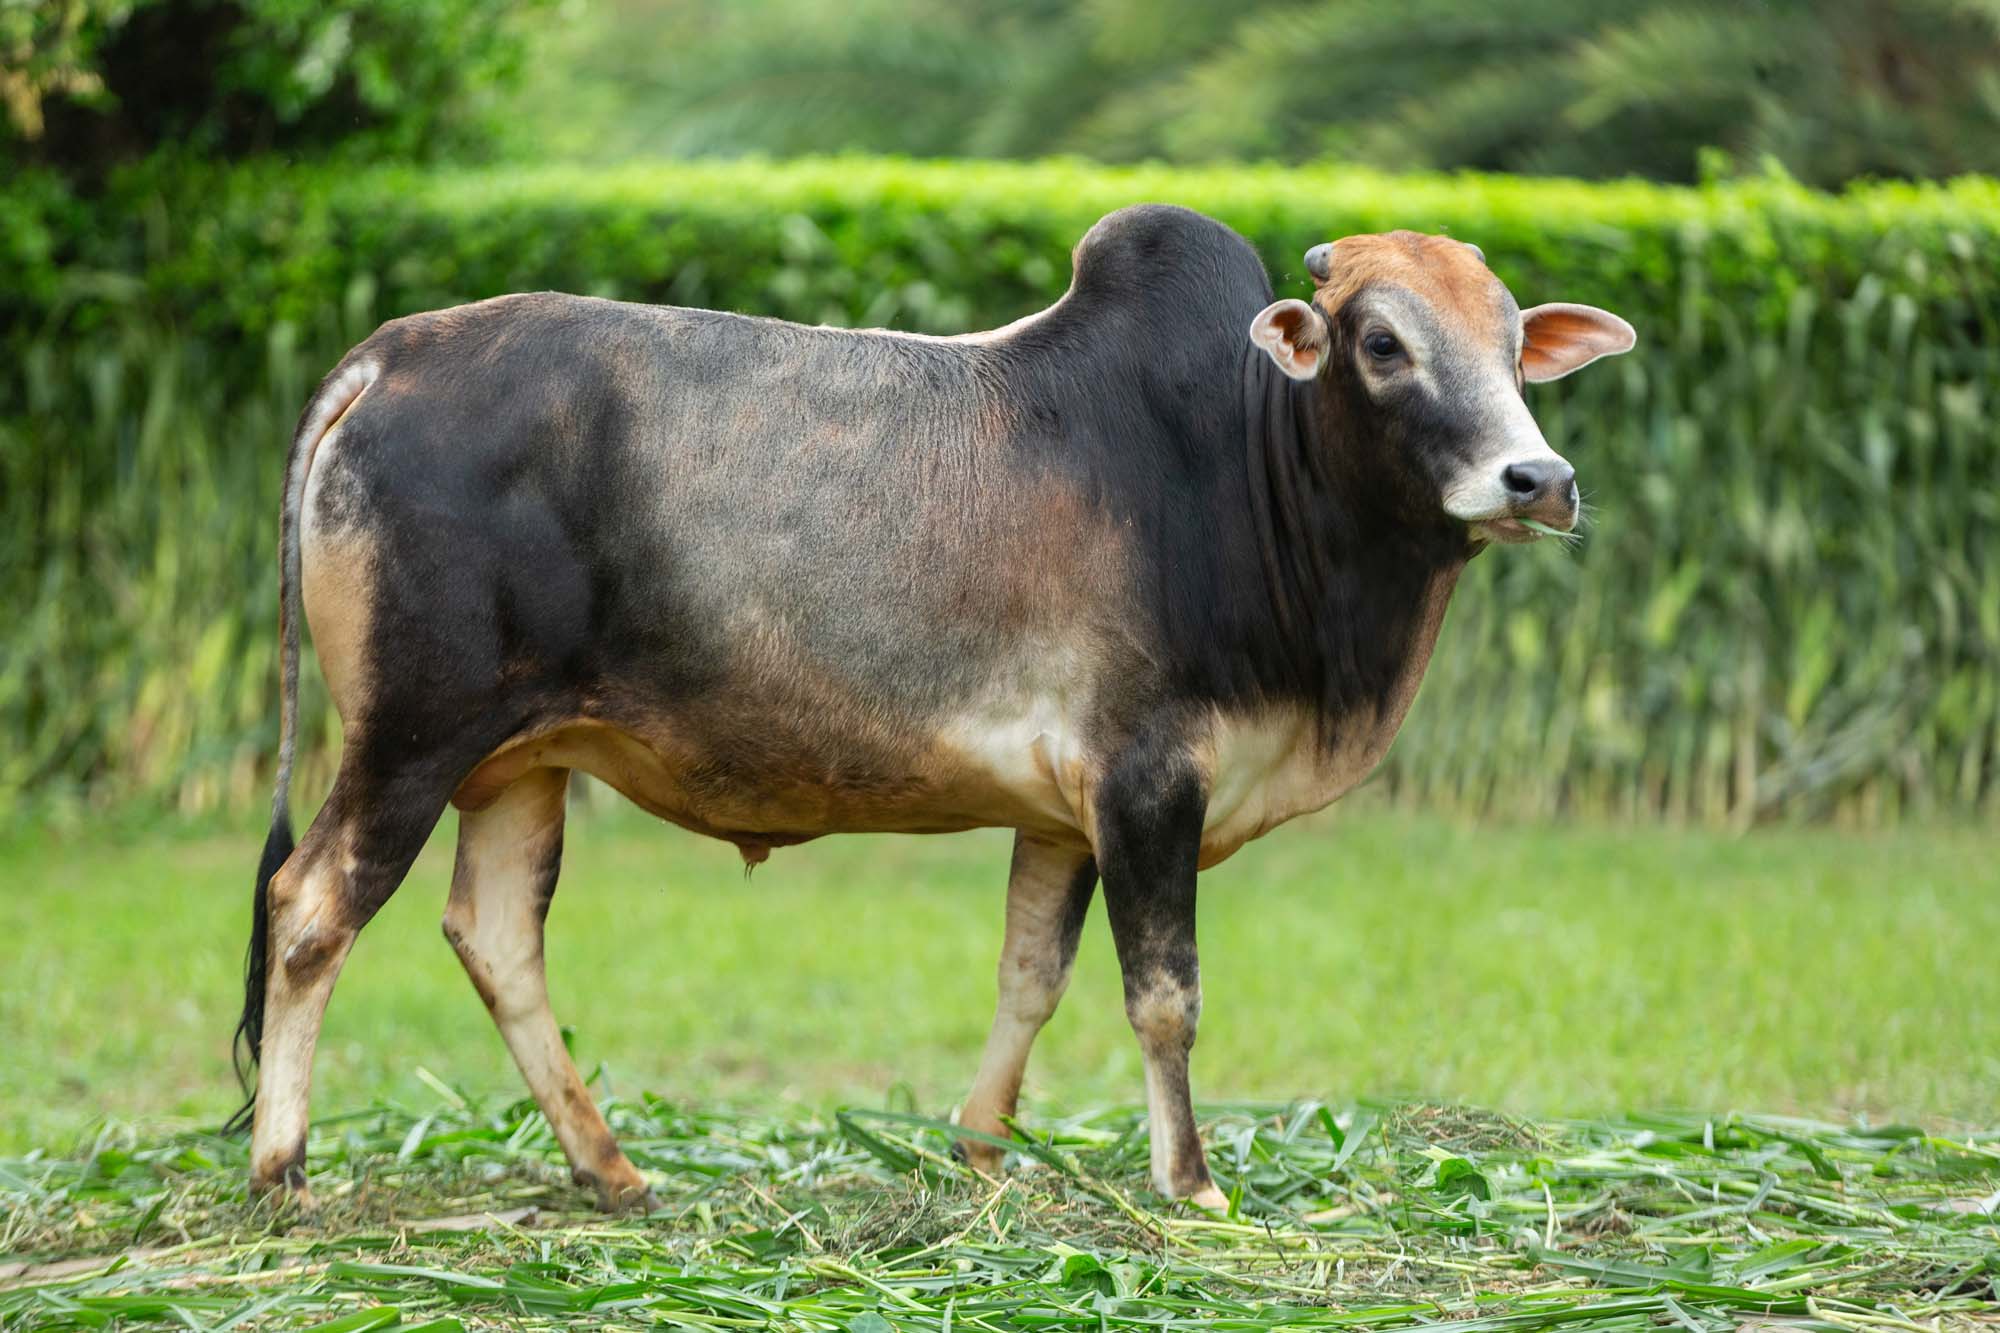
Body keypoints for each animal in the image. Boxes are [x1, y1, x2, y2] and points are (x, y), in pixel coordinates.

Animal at [229, 203, 1633, 1213]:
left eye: (1514, 345)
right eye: (1382, 343)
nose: (1539, 478)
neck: (1248, 468)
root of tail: (389, 354)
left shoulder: (1064, 814)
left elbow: (1029, 977)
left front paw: (977, 1150)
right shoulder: (1149, 782)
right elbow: (1163, 994)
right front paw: (1189, 1183)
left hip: (523, 757)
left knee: (495, 937)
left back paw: (611, 1170)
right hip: (413, 734)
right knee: (310, 906)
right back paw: (283, 1170)